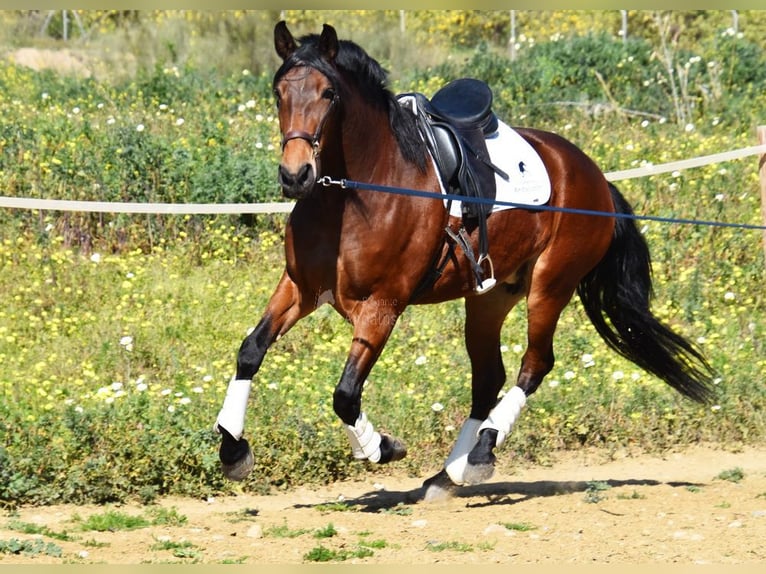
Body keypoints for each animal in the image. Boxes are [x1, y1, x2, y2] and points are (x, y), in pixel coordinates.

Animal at [214, 21, 712, 500]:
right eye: (278, 92)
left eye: (329, 94)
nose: (295, 175)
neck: (357, 196)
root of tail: (593, 175)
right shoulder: (300, 287)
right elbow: (251, 350)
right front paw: (233, 449)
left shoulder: (383, 306)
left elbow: (346, 394)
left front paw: (383, 447)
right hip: (489, 297)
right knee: (488, 377)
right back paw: (448, 473)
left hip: (550, 286)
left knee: (534, 365)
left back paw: (480, 454)